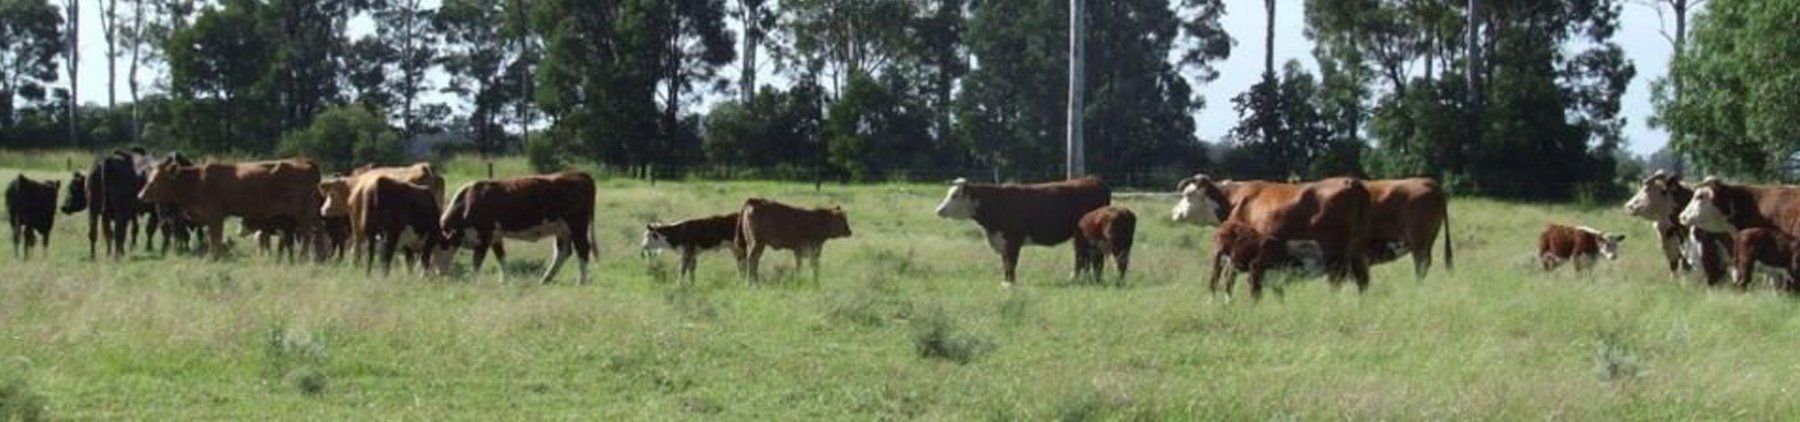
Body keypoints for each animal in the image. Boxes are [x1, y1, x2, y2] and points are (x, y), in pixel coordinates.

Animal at [138, 159, 323, 260]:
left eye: (157, 178)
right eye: (148, 177)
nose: (140, 195)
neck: (197, 180)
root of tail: (305, 161)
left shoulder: (215, 216)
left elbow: (215, 238)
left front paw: (212, 257)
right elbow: (215, 238)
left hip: (303, 213)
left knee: (307, 236)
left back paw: (303, 257)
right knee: (315, 234)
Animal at [440, 172, 596, 284]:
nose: (438, 274)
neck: (468, 202)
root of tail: (579, 174)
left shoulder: (484, 237)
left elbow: (476, 263)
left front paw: (475, 282)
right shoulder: (495, 237)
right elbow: (501, 257)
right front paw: (504, 281)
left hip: (577, 226)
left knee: (582, 249)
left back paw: (581, 281)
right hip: (562, 229)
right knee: (562, 252)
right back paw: (545, 279)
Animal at [933, 177, 1111, 286]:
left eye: (955, 195)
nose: (938, 210)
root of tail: (1093, 179)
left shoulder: (1013, 240)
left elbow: (1011, 262)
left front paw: (1010, 283)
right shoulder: (1002, 240)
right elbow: (1005, 262)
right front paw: (1005, 281)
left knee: (1086, 257)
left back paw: (1080, 279)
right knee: (1088, 257)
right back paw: (1089, 279)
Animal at [1173, 175, 1373, 291]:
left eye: (1188, 195)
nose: (1175, 213)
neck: (1235, 200)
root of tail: (1351, 182)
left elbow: (1232, 279)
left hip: (1333, 252)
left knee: (1336, 280)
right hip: (1356, 252)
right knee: (1362, 280)